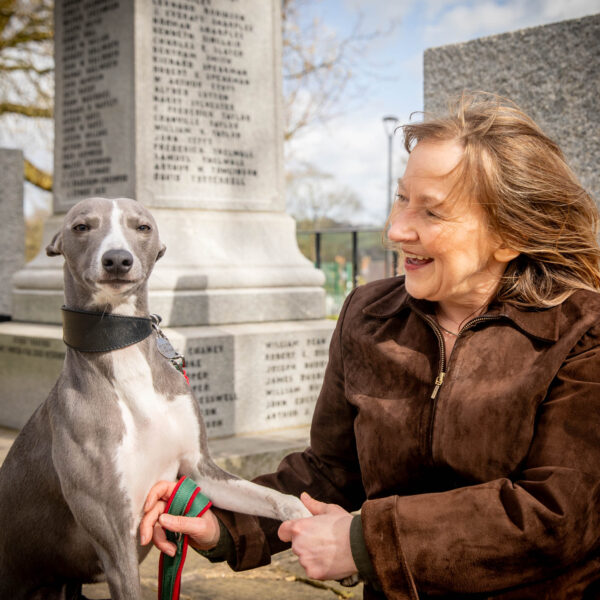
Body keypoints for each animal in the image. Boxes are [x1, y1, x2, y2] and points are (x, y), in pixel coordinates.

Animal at [0, 198, 310, 600]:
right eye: (81, 226)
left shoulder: (199, 470)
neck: (122, 354)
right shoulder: (116, 538)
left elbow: (279, 499)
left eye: (142, 227)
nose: (118, 260)